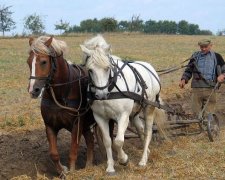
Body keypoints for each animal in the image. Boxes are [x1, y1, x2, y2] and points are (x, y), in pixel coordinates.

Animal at [27, 35, 95, 175]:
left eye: (43, 61)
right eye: (28, 61)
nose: (33, 90)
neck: (62, 92)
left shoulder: (77, 125)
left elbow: (73, 151)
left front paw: (72, 172)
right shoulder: (50, 125)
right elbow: (53, 154)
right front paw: (62, 170)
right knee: (90, 140)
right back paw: (89, 165)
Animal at [80, 34, 166, 175]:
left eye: (107, 68)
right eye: (90, 70)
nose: (101, 95)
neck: (111, 88)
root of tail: (150, 68)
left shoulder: (123, 115)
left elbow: (119, 141)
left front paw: (124, 159)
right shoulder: (100, 117)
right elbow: (108, 141)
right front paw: (110, 167)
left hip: (149, 107)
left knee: (147, 132)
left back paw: (143, 160)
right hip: (135, 112)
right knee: (140, 130)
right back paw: (146, 152)